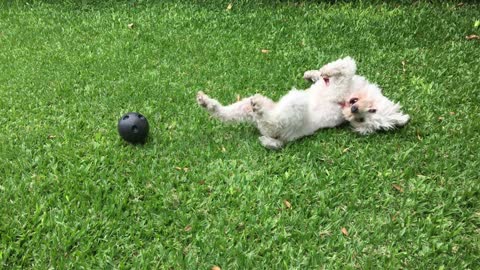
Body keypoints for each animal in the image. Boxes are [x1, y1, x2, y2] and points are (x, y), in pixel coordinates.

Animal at [195, 57, 408, 150]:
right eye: (371, 110)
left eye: (362, 120)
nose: (354, 110)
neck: (348, 96)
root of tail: (278, 138)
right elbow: (337, 70)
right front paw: (315, 73)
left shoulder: (337, 89)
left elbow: (347, 65)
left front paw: (327, 70)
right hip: (247, 107)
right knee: (226, 112)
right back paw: (207, 103)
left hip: (292, 105)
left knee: (269, 119)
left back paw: (259, 107)